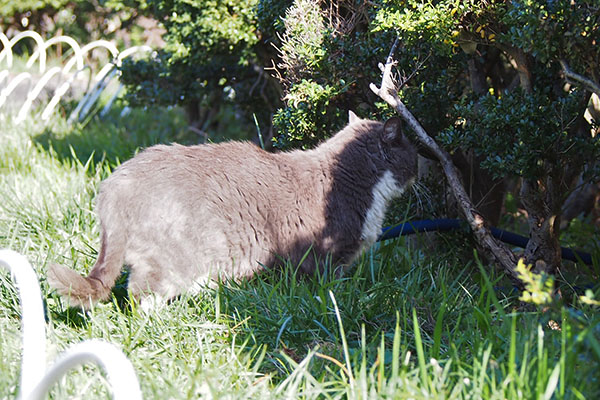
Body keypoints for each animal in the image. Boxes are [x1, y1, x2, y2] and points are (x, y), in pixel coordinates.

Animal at [48, 111, 418, 308]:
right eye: (414, 151)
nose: (424, 165)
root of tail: (115, 185)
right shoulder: (327, 255)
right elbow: (328, 285)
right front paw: (338, 300)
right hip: (178, 256)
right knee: (142, 291)